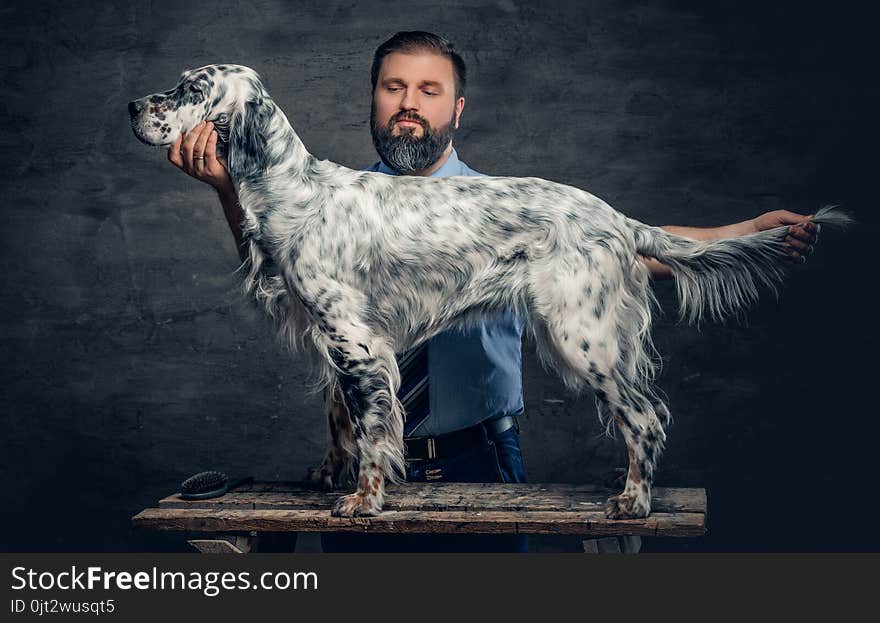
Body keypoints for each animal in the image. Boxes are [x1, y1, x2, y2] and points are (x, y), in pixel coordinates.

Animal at [127, 66, 848, 520]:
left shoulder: (357, 342)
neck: (287, 188)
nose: (133, 106)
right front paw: (328, 472)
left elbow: (372, 430)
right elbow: (339, 419)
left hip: (581, 335)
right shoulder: (336, 341)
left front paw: (362, 499)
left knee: (645, 416)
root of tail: (614, 215)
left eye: (191, 88)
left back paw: (634, 501)